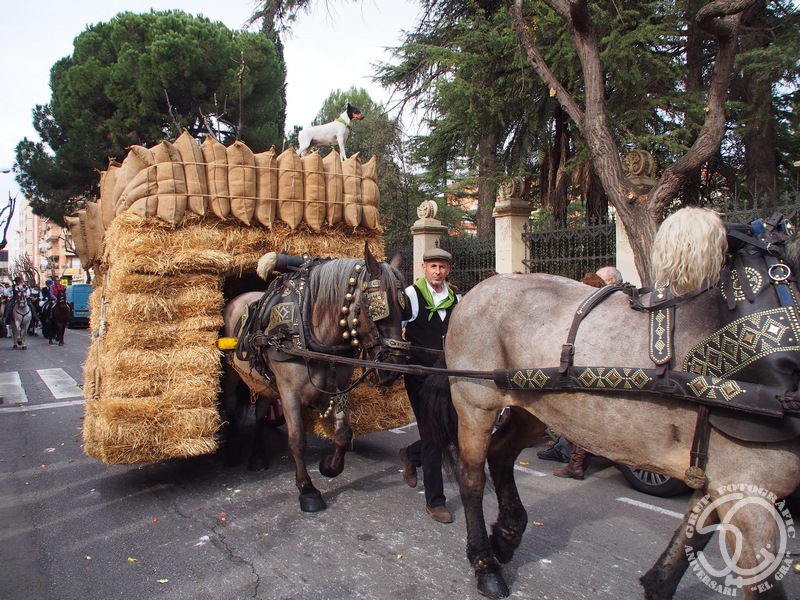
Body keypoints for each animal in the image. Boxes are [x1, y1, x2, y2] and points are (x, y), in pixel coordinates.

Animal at [220, 244, 409, 512]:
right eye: (378, 308)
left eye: (406, 309)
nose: (394, 367)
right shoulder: (288, 393)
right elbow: (297, 440)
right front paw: (307, 490)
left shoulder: (340, 387)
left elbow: (343, 433)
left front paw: (329, 466)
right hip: (231, 375)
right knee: (230, 405)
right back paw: (233, 449)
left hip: (265, 381)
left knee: (260, 412)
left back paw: (258, 454)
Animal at [423, 207, 800, 599]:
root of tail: (471, 293)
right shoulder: (746, 486)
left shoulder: (728, 479)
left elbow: (691, 537)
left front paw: (658, 584)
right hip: (476, 405)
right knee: (471, 478)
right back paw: (485, 563)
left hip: (533, 407)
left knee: (500, 454)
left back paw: (507, 535)